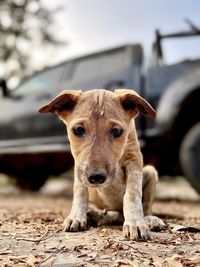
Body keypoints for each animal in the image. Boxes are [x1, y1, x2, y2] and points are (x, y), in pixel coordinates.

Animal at [39, 89, 164, 241]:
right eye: (78, 130)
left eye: (116, 131)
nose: (96, 177)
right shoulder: (79, 165)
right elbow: (80, 191)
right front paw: (76, 216)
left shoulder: (134, 159)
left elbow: (132, 194)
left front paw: (135, 222)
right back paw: (97, 215)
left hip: (151, 172)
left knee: (139, 209)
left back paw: (149, 219)